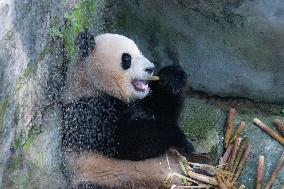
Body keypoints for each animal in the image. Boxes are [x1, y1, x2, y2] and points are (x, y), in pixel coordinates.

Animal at [61, 30, 194, 188]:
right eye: (127, 58)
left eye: (140, 52)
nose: (150, 68)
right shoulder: (90, 113)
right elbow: (128, 142)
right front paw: (181, 139)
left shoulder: (142, 103)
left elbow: (163, 112)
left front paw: (172, 77)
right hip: (108, 179)